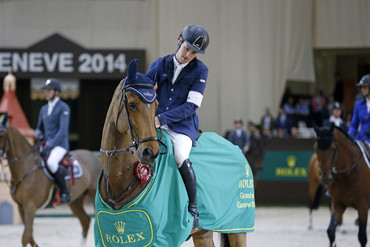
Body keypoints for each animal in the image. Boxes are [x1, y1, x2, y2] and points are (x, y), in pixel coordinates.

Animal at [0, 116, 101, 247]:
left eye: (2, 135)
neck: (26, 167)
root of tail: (97, 157)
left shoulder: (30, 206)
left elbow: (25, 237)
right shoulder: (21, 207)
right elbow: (30, 236)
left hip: (93, 195)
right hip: (75, 200)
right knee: (85, 221)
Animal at [97, 60, 250, 247]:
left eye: (155, 106)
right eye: (132, 105)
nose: (151, 152)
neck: (119, 179)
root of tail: (236, 148)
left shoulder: (160, 239)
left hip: (238, 228)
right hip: (204, 233)